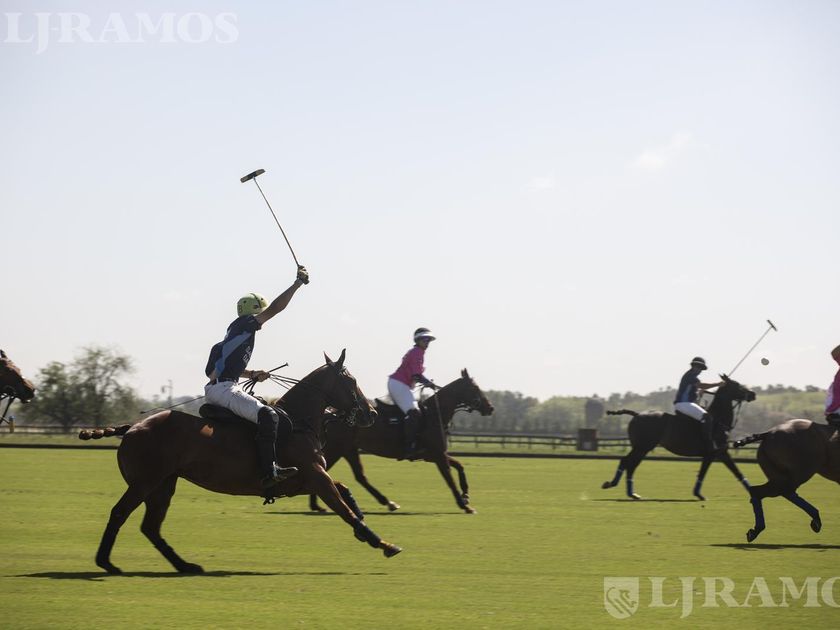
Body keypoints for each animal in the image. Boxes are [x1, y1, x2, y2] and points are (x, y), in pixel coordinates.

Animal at [79, 350, 402, 574]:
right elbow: (343, 507)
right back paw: (106, 563)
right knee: (120, 513)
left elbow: (346, 492)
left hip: (163, 485)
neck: (299, 422)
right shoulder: (314, 476)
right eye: (351, 381)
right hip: (145, 482)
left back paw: (185, 565)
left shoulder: (306, 479)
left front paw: (366, 528)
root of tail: (131, 428)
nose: (371, 413)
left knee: (151, 527)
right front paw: (383, 543)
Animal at [308, 369, 494, 514]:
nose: (490, 408)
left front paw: (466, 496)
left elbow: (460, 466)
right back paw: (317, 504)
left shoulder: (434, 454)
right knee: (322, 469)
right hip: (338, 448)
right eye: (475, 388)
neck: (434, 414)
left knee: (359, 476)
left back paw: (388, 502)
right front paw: (464, 505)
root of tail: (329, 413)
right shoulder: (438, 455)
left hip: (349, 449)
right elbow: (449, 478)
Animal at [601, 374, 756, 500]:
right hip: (642, 447)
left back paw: (632, 493)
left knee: (631, 465)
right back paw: (612, 484)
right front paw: (698, 494)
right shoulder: (715, 452)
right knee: (627, 462)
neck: (718, 420)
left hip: (642, 448)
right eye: (737, 384)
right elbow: (710, 472)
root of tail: (637, 414)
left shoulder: (719, 453)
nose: (753, 394)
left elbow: (733, 472)